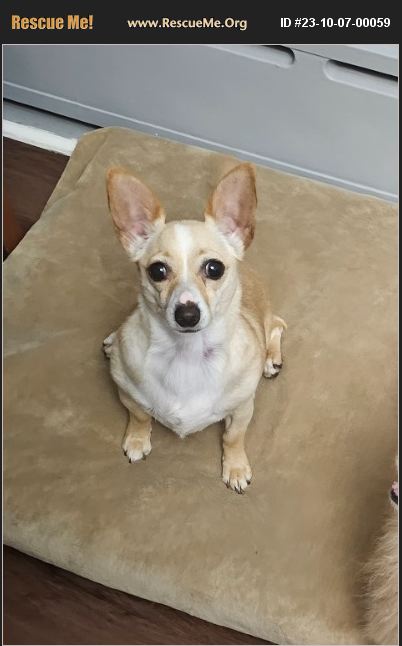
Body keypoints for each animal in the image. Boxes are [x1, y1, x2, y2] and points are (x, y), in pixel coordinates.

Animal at [103, 163, 286, 493]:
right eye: (157, 271)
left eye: (214, 268)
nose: (187, 314)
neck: (186, 353)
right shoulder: (127, 391)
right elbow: (139, 416)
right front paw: (137, 440)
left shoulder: (243, 408)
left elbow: (233, 437)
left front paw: (236, 468)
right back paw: (112, 340)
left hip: (268, 322)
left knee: (277, 325)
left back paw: (271, 359)